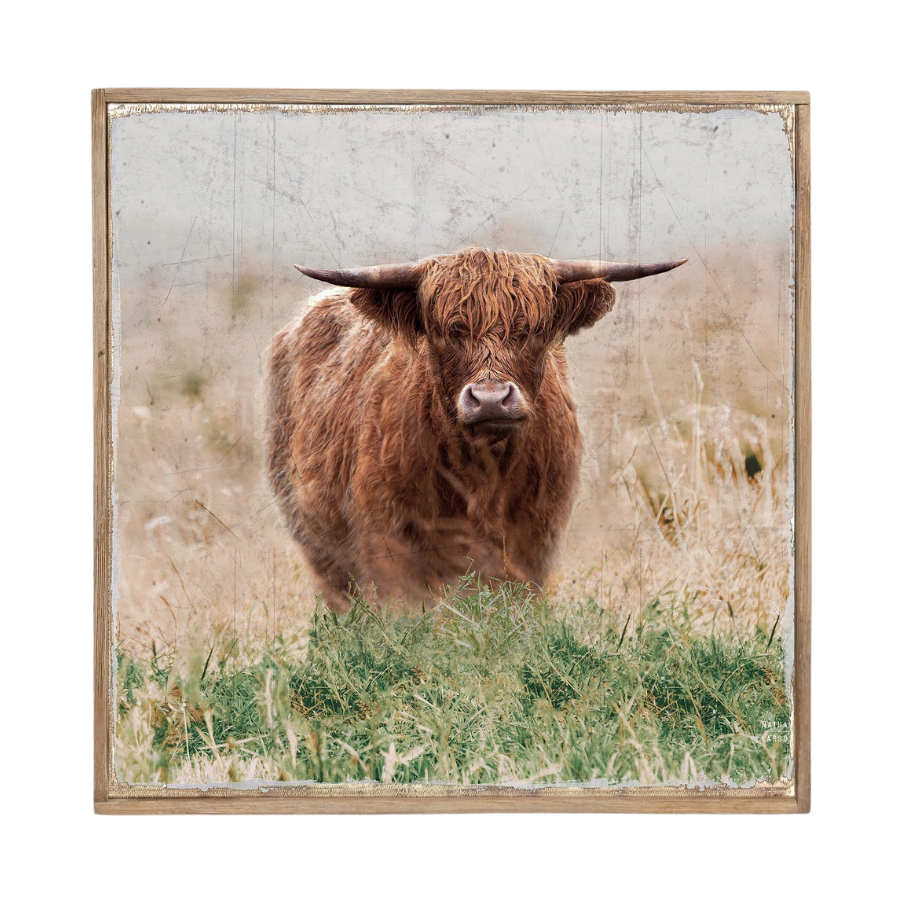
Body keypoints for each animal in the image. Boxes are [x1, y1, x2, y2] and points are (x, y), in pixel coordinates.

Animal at [266, 248, 685, 610]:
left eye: (532, 330)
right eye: (445, 332)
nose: (490, 399)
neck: (484, 478)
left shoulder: (535, 544)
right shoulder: (388, 548)